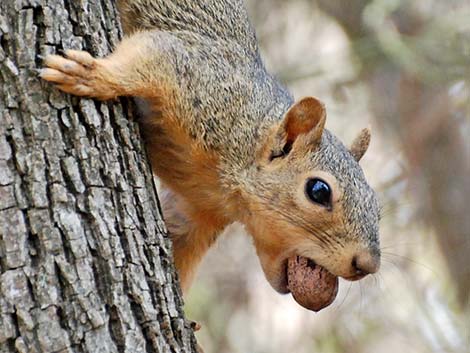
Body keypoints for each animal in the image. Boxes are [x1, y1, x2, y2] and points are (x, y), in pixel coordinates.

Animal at [38, 0, 380, 310]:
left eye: (377, 205)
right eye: (318, 191)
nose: (367, 265)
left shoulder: (196, 211)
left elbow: (179, 247)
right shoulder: (197, 79)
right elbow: (151, 55)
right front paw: (92, 76)